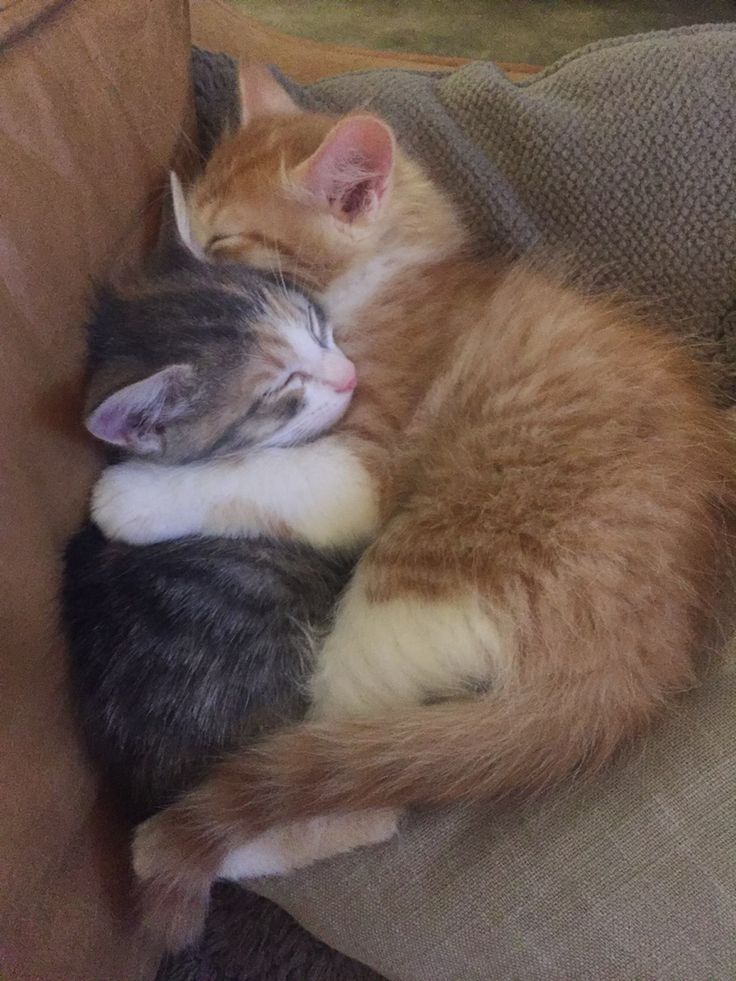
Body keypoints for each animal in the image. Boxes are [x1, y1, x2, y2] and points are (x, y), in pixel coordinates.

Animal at [99, 72, 736, 944]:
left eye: (223, 241)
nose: (179, 260)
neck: (390, 271)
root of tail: (642, 665)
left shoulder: (358, 460)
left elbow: (251, 471)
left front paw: (126, 494)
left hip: (406, 583)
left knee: (364, 798)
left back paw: (177, 841)